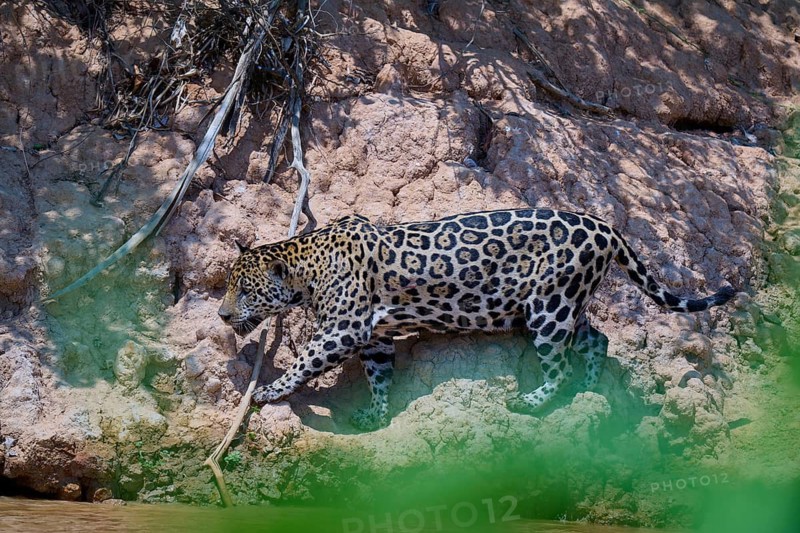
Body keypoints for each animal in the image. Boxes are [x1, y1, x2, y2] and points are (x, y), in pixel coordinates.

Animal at [218, 209, 735, 430]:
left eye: (244, 289)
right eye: (229, 284)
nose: (222, 314)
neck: (305, 263)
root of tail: (607, 226)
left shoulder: (343, 329)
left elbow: (303, 362)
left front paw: (267, 391)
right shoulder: (375, 335)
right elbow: (380, 375)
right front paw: (376, 413)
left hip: (549, 308)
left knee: (561, 363)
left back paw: (532, 402)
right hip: (567, 302)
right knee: (597, 341)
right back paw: (588, 391)